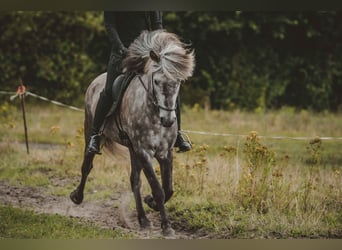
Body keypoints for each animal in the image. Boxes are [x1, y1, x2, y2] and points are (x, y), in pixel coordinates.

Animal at [69, 30, 195, 235]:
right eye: (157, 81)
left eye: (178, 83)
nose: (168, 120)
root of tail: (97, 80)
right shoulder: (144, 151)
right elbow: (158, 188)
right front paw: (166, 226)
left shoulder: (165, 152)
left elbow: (168, 188)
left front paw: (151, 203)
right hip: (91, 131)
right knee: (87, 165)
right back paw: (77, 196)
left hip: (131, 148)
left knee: (134, 180)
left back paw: (143, 219)